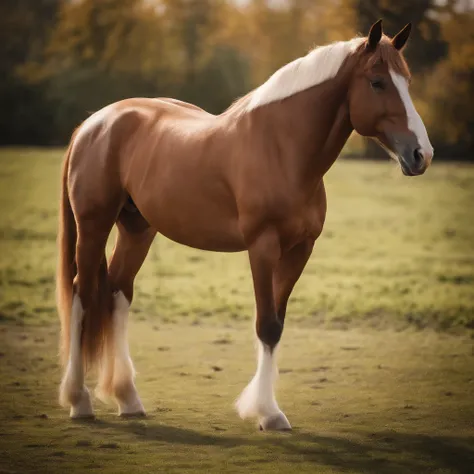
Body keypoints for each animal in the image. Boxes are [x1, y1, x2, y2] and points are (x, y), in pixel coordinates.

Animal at [56, 21, 434, 430]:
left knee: (117, 294)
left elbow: (278, 324)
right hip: (93, 226)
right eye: (378, 82)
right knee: (81, 293)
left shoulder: (300, 250)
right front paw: (267, 412)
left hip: (137, 229)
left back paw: (128, 398)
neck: (283, 149)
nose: (422, 154)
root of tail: (94, 123)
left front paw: (267, 408)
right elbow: (266, 325)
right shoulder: (262, 247)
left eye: (407, 81)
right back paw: (80, 401)